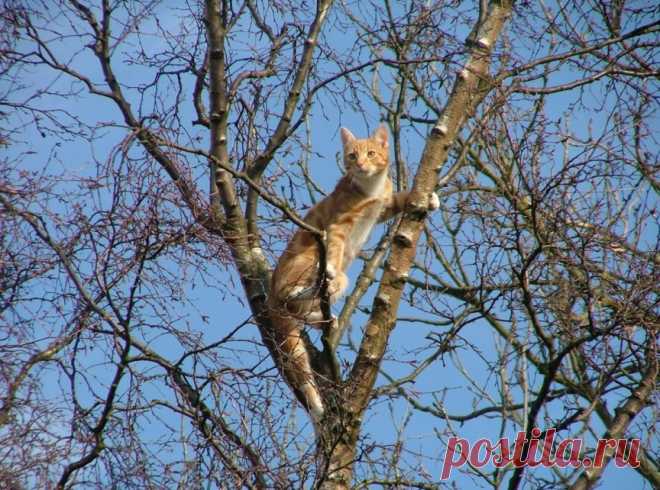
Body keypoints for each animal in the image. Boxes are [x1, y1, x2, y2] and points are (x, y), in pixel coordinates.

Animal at [268, 124, 438, 426]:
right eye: (351, 155)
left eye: (370, 153)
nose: (359, 164)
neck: (370, 189)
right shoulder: (336, 228)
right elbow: (335, 248)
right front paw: (331, 267)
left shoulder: (384, 206)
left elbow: (402, 197)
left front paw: (429, 199)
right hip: (306, 261)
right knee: (293, 295)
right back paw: (314, 287)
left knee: (300, 310)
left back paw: (326, 318)